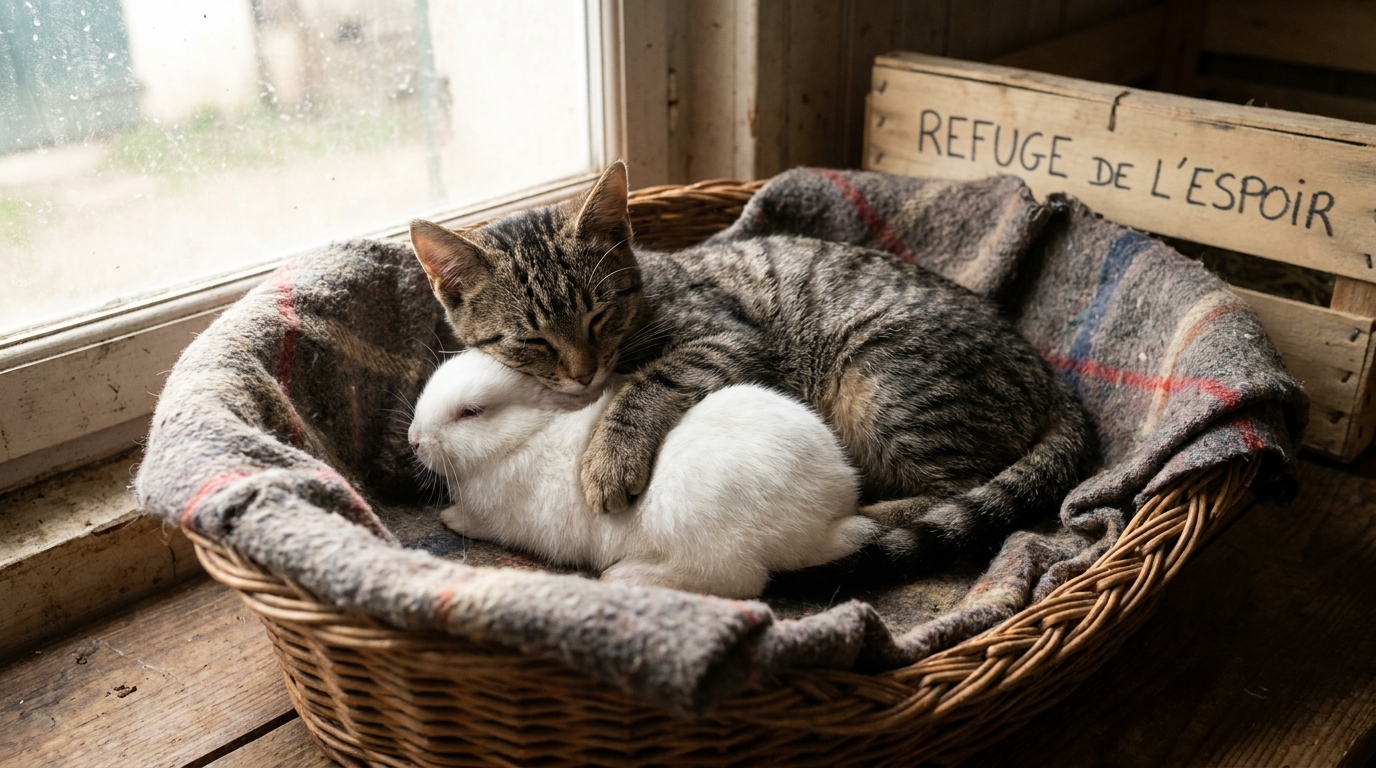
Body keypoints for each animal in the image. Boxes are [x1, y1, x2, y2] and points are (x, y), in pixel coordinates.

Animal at [408, 349, 879, 598]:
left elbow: (476, 523)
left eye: (471, 412)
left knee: (739, 580)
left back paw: (623, 575)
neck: (524, 436)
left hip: (695, 525)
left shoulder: (499, 520)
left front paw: (449, 518)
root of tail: (823, 524)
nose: (414, 440)